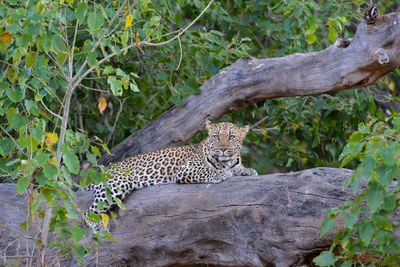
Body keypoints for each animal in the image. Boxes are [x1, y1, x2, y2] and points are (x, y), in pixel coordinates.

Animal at [85, 120, 258, 233]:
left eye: (231, 137)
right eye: (216, 136)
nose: (222, 149)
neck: (225, 161)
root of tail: (104, 170)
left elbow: (240, 169)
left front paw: (249, 171)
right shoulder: (185, 170)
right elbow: (208, 171)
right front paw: (222, 173)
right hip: (116, 185)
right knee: (88, 212)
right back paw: (99, 227)